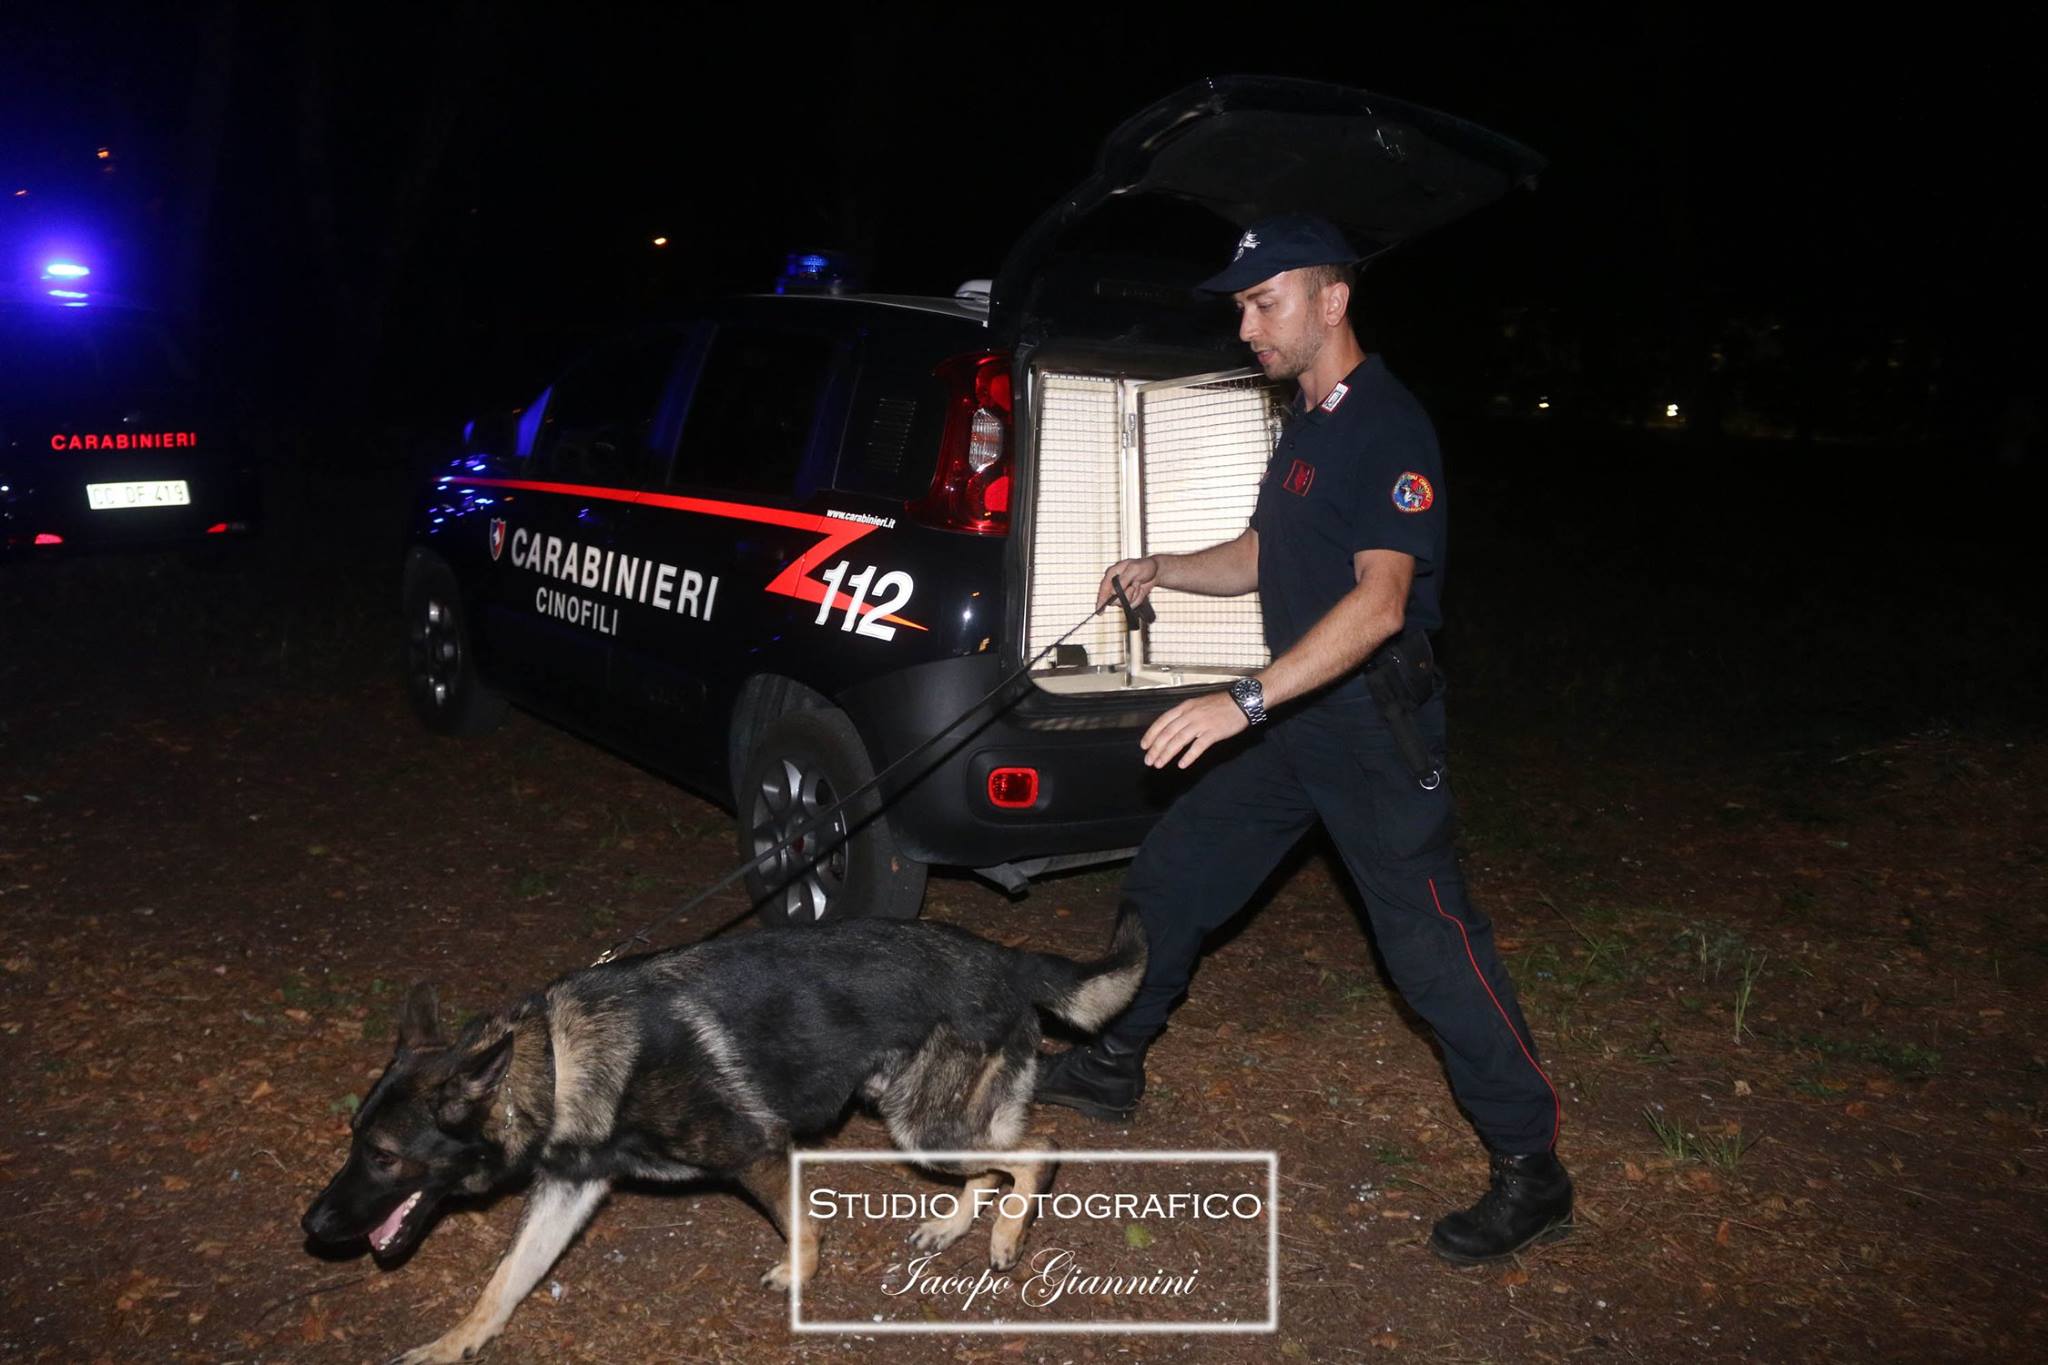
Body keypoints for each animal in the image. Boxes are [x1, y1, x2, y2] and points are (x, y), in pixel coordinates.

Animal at [303, 912, 1146, 1358]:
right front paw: (458, 1341)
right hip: (923, 1115)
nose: (310, 1223)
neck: (556, 1063)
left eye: (383, 1156)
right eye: (352, 1137)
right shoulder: (568, 1188)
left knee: (1038, 1152)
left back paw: (1005, 1235)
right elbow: (504, 1279)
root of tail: (1006, 957)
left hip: (922, 1123)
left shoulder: (758, 1148)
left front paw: (799, 1272)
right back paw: (954, 1226)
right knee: (995, 1160)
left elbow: (799, 1224)